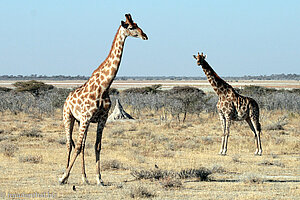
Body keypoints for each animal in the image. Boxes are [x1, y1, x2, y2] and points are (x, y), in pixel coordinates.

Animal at [58, 14, 148, 185]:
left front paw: (99, 179)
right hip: (69, 117)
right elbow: (77, 147)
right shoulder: (87, 117)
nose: (145, 36)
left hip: (80, 121)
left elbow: (97, 146)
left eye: (138, 24)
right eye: (131, 27)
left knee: (82, 145)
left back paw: (84, 178)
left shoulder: (102, 118)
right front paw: (64, 177)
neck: (104, 86)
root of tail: (67, 98)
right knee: (69, 144)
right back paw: (63, 175)